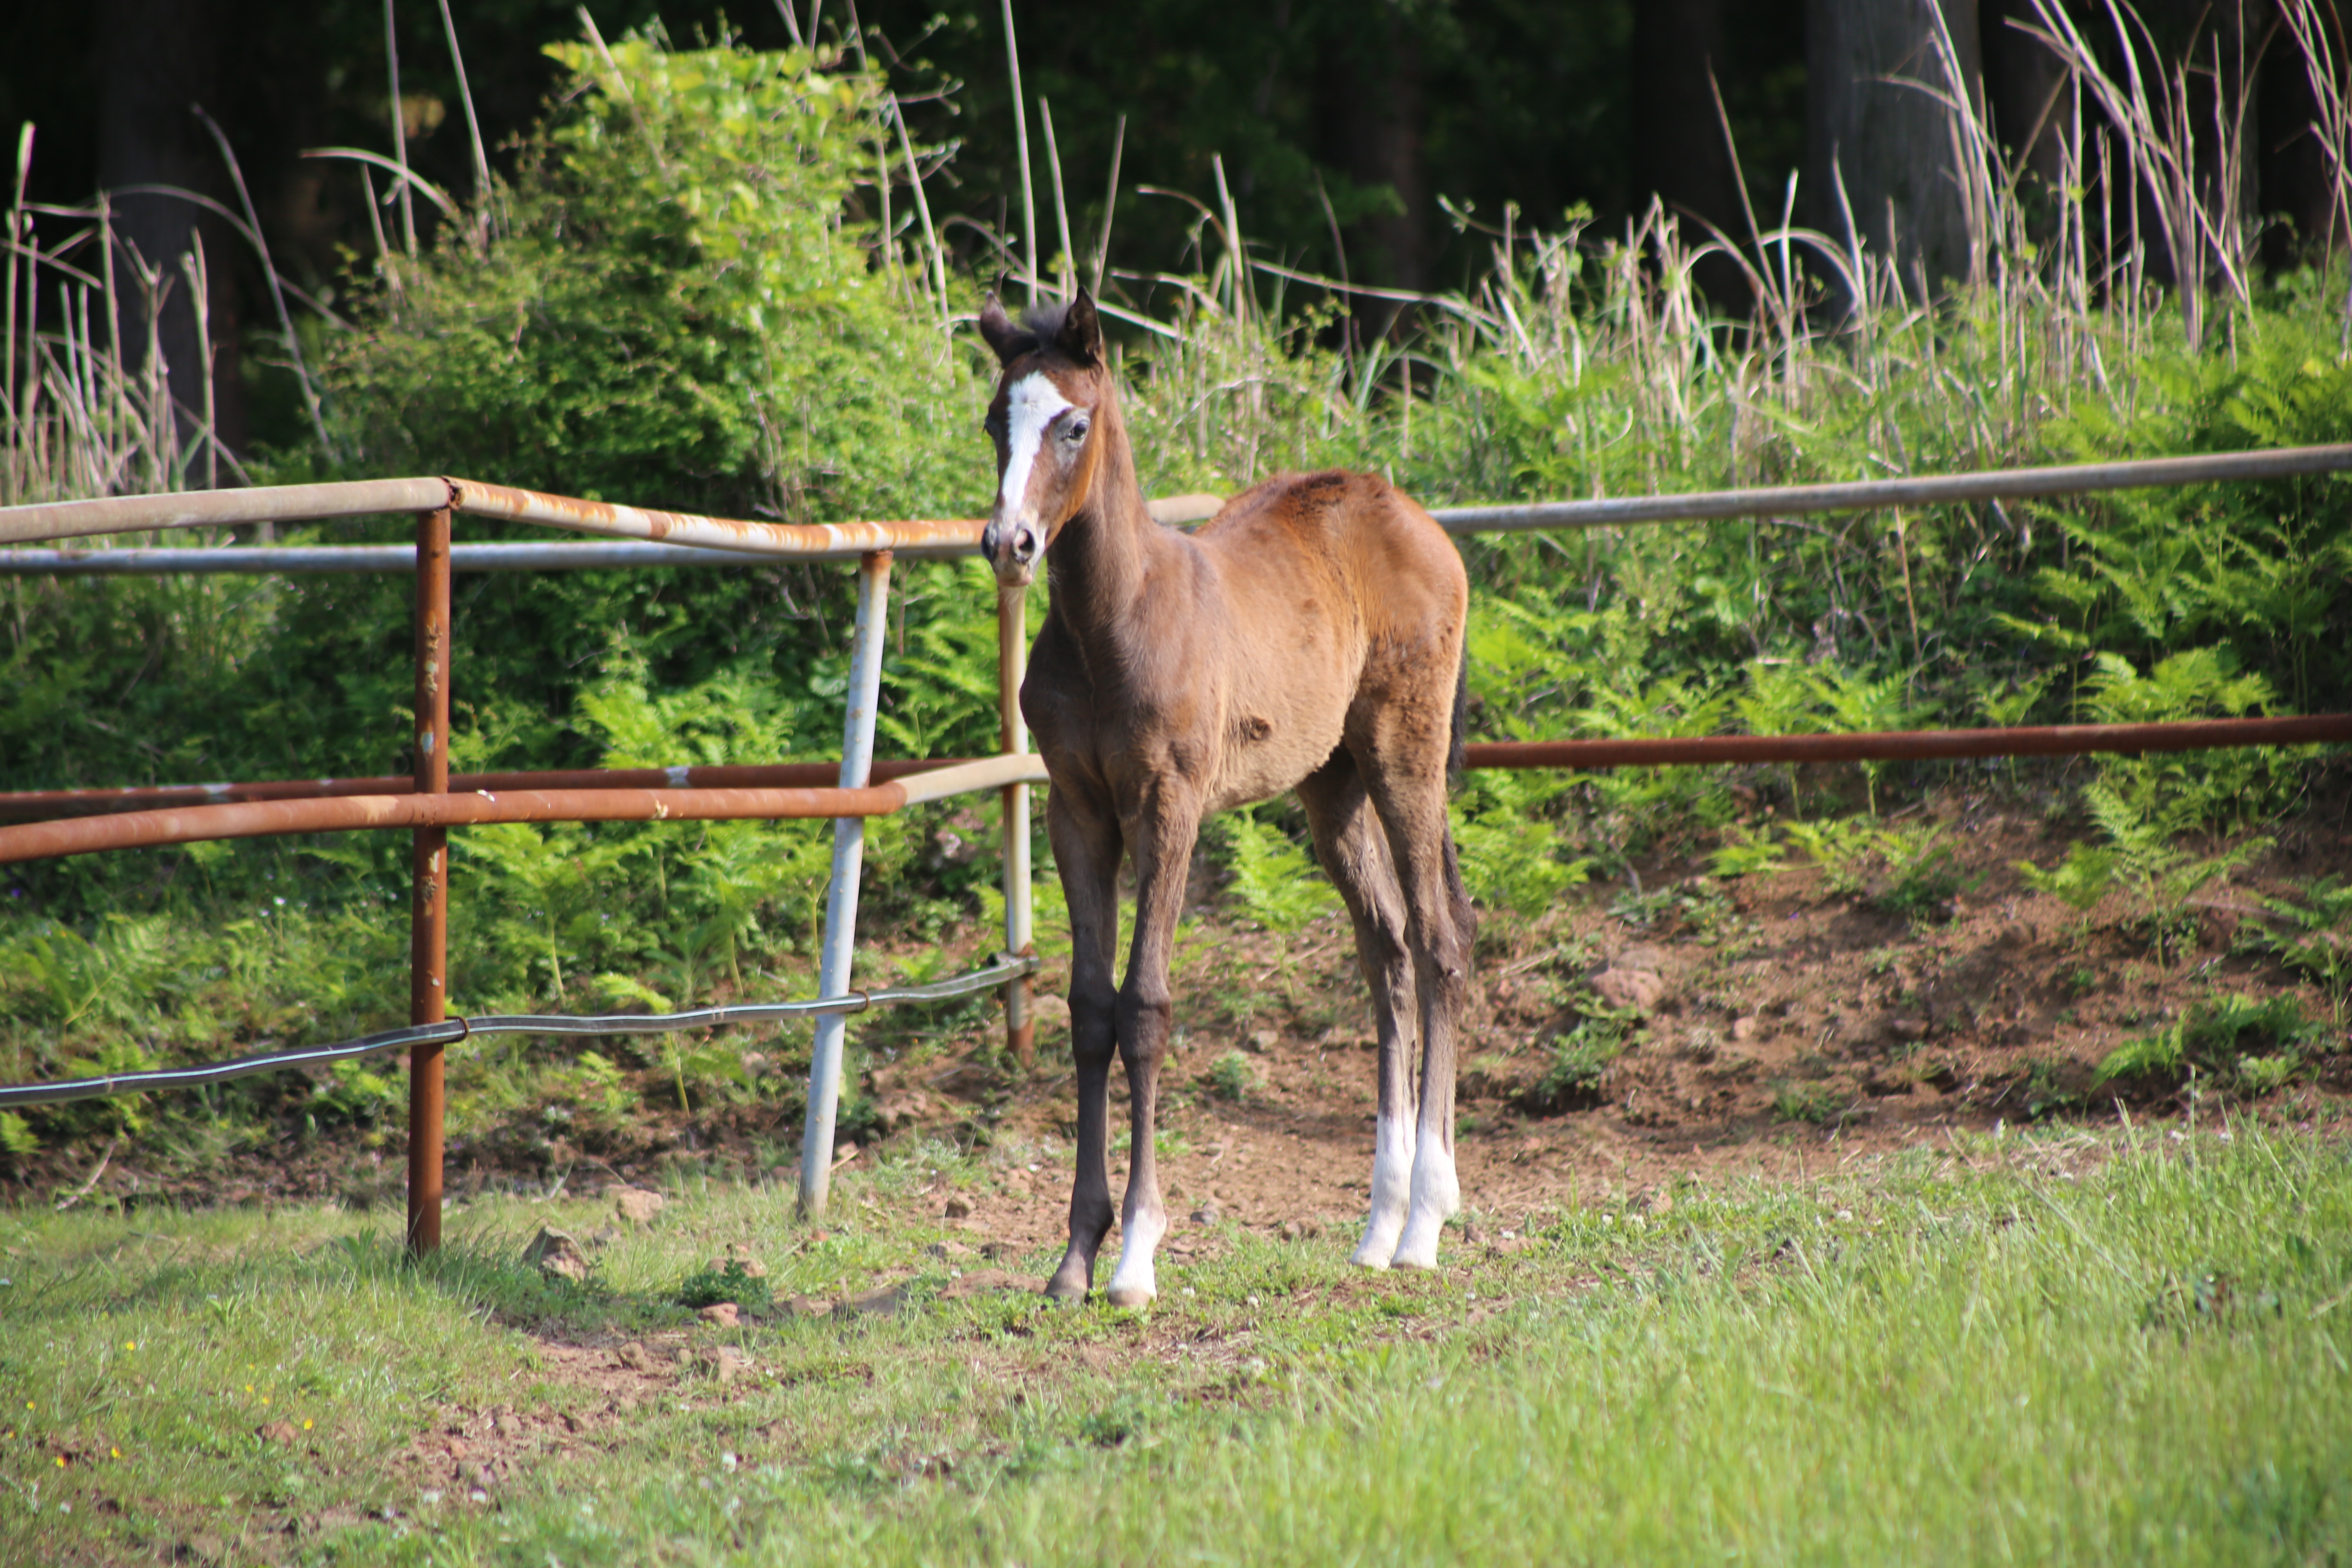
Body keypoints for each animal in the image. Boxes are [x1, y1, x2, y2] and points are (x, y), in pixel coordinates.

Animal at [973, 288, 1468, 1307]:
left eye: (1073, 424)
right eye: (995, 422)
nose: (1011, 544)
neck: (1112, 623)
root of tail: (1412, 517)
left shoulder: (1169, 809)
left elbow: (1145, 1008)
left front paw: (1135, 1257)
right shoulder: (1077, 813)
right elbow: (1089, 1010)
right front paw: (1075, 1255)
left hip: (1407, 756)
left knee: (1440, 945)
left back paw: (1425, 1226)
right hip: (1331, 789)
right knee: (1389, 955)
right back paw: (1377, 1225)